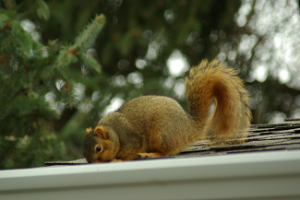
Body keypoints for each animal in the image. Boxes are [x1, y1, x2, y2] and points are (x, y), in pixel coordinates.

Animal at [83, 59, 252, 162]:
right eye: (84, 150)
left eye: (98, 148)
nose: (93, 163)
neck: (114, 133)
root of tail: (189, 128)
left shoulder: (131, 138)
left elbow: (131, 151)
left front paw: (118, 159)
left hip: (162, 133)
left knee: (166, 152)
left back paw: (150, 153)